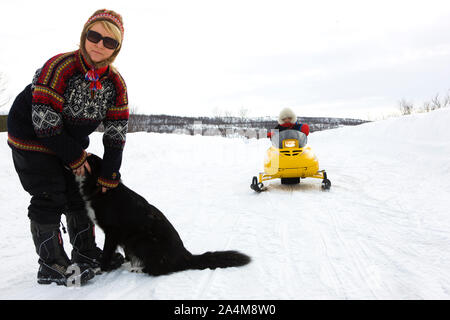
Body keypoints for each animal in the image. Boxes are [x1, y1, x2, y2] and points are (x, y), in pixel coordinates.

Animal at [78, 154, 251, 276]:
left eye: (89, 159)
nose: (80, 155)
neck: (100, 189)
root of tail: (185, 255)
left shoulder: (112, 232)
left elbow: (106, 254)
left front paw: (101, 269)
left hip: (142, 240)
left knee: (159, 269)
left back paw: (139, 270)